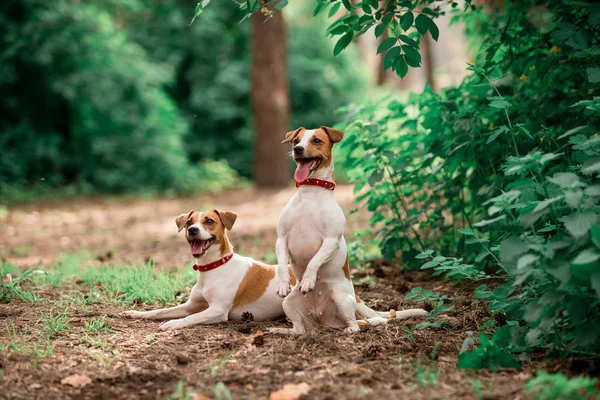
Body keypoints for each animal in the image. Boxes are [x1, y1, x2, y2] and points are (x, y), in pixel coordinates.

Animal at [122, 209, 296, 332]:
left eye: (210, 221)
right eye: (188, 222)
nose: (192, 229)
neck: (214, 266)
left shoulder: (218, 310)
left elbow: (192, 317)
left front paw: (173, 323)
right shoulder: (190, 305)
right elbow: (160, 311)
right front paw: (136, 313)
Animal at [270, 126, 428, 334]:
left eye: (316, 140)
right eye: (296, 141)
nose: (298, 149)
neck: (311, 192)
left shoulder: (331, 240)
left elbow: (314, 261)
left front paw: (308, 280)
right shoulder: (282, 239)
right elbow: (282, 265)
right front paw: (282, 284)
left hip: (341, 299)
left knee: (356, 324)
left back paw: (354, 328)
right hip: (289, 303)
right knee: (300, 329)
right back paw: (283, 331)